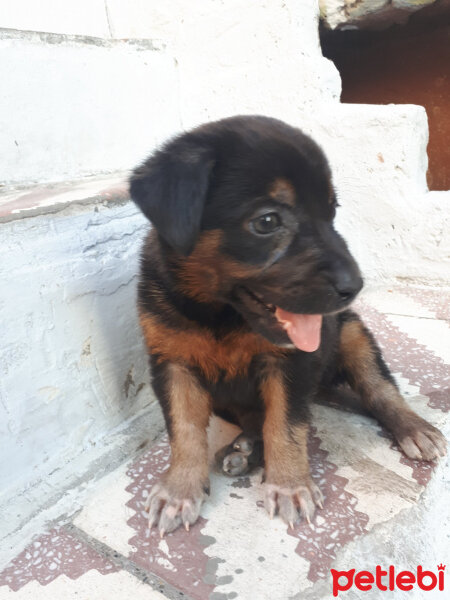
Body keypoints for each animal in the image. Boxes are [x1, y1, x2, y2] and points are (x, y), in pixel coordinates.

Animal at [130, 113, 446, 536]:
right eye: (267, 221)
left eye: (332, 212)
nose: (355, 286)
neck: (222, 315)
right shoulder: (172, 363)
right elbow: (185, 430)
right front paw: (179, 489)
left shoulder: (292, 363)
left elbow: (285, 424)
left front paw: (289, 485)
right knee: (253, 418)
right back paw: (245, 449)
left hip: (353, 334)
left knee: (380, 388)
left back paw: (412, 427)